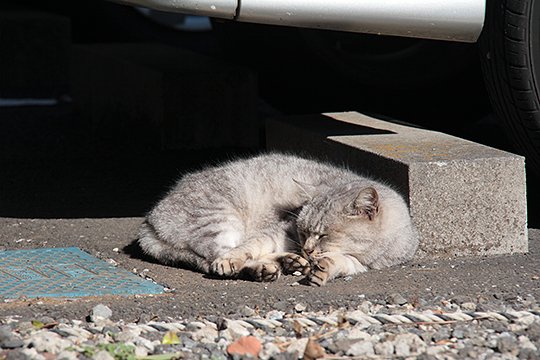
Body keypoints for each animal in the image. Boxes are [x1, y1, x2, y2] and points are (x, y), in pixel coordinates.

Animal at [138, 153, 418, 286]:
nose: (307, 249)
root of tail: (148, 220)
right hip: (219, 219)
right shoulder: (283, 230)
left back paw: (286, 263)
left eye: (323, 235)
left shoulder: (363, 264)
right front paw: (235, 259)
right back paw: (266, 266)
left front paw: (324, 269)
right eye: (304, 231)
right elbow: (248, 247)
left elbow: (341, 262)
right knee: (216, 257)